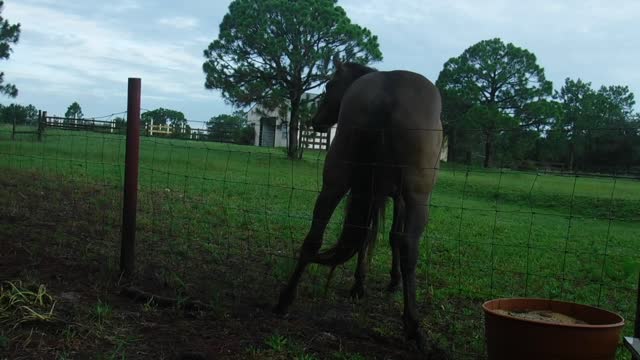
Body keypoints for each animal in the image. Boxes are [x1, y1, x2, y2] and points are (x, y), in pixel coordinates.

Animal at [276, 54, 444, 356]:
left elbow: (367, 235)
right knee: (409, 249)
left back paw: (285, 300)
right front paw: (387, 281)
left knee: (314, 238)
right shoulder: (398, 198)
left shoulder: (374, 193)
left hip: (335, 183)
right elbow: (391, 238)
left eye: (329, 85)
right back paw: (413, 327)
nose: (316, 121)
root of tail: (388, 96)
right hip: (417, 198)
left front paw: (360, 284)